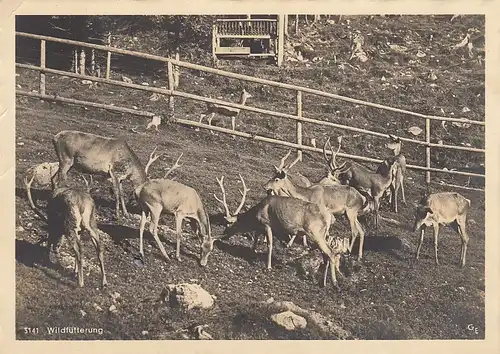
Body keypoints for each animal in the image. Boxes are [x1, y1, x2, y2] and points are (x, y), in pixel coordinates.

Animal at [213, 174, 346, 288]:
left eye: (230, 224)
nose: (222, 234)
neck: (256, 214)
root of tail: (330, 218)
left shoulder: (267, 223)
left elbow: (269, 244)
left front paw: (268, 267)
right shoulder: (261, 226)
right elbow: (256, 237)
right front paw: (253, 251)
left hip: (315, 232)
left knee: (330, 252)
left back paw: (334, 283)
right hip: (322, 234)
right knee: (327, 254)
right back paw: (324, 282)